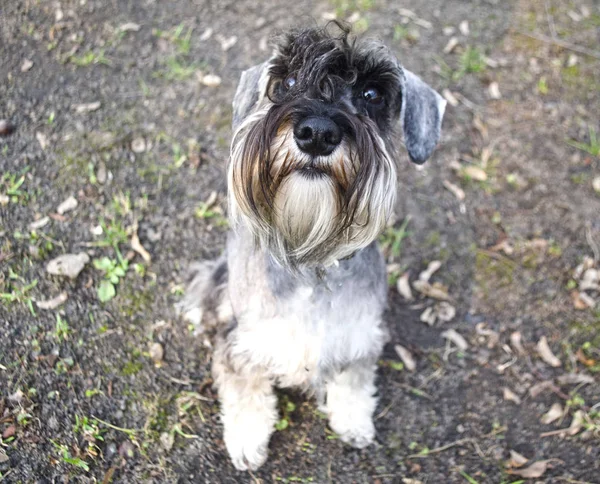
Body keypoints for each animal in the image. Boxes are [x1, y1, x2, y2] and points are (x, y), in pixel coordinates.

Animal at [180, 21, 448, 468]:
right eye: (287, 82)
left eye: (372, 95)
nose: (317, 133)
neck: (311, 261)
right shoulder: (245, 345)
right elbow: (246, 393)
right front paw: (247, 442)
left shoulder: (358, 339)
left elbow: (353, 383)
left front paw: (354, 422)